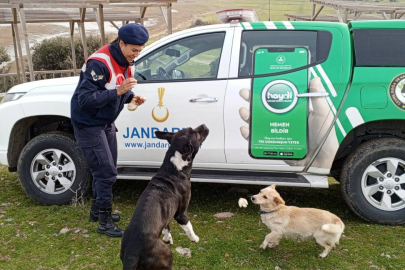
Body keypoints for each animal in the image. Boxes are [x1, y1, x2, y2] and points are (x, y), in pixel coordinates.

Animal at [119, 124, 208, 270]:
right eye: (196, 133)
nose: (204, 126)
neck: (175, 167)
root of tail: (132, 252)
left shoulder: (167, 212)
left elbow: (166, 225)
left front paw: (168, 238)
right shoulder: (181, 214)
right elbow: (188, 226)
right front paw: (194, 238)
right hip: (166, 255)